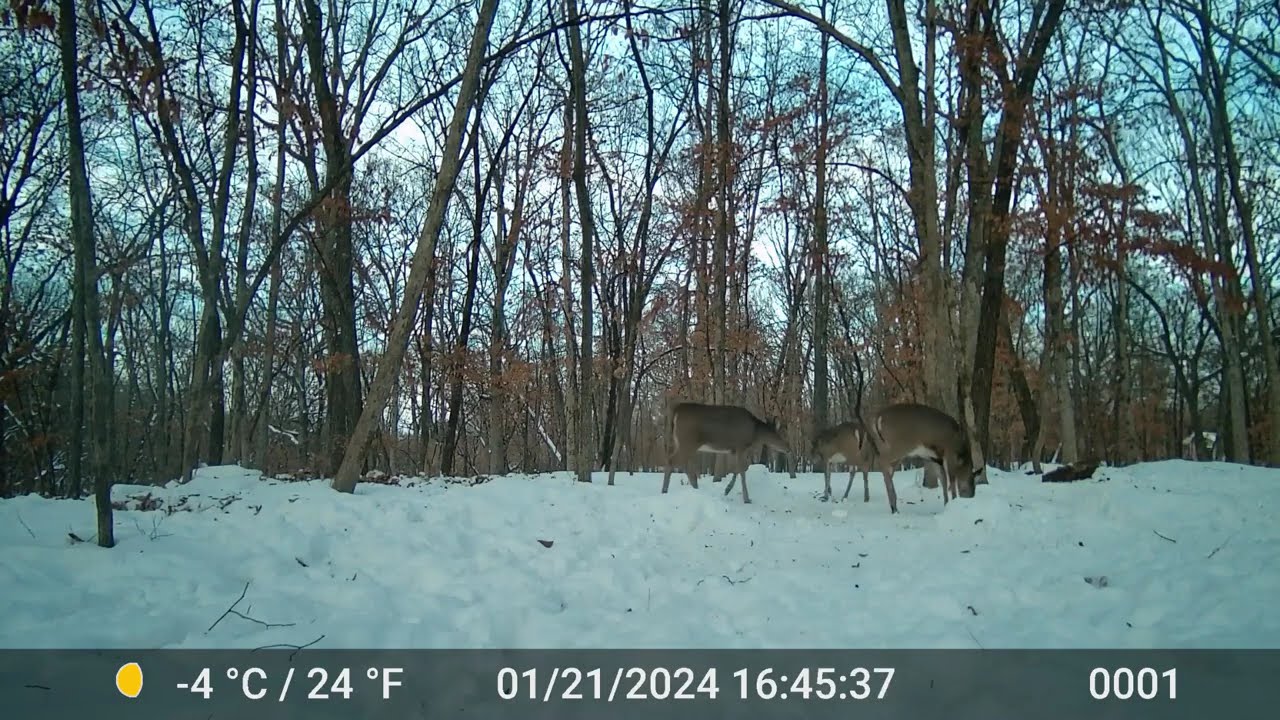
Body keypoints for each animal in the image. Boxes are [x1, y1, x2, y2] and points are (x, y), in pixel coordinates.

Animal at [660, 402, 789, 504]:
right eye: (780, 434)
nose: (788, 448)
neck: (755, 433)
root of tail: (676, 410)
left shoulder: (735, 450)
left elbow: (738, 469)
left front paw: (727, 490)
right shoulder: (741, 445)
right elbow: (742, 471)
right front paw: (746, 499)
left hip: (683, 444)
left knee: (683, 464)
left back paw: (694, 488)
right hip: (687, 441)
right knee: (671, 460)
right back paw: (664, 491)